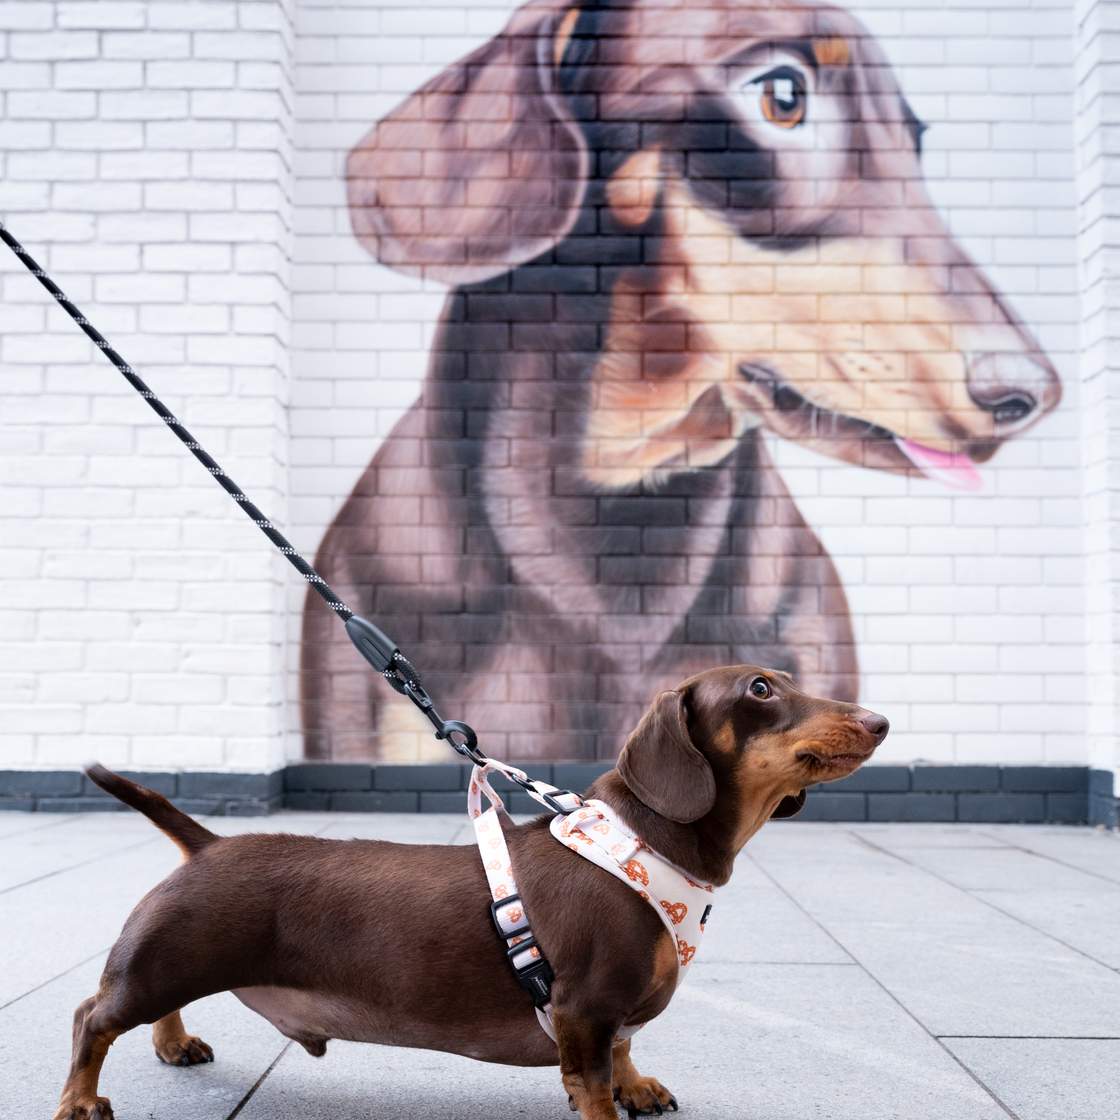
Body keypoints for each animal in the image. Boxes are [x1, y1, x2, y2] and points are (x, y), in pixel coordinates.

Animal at [53, 665, 888, 1120]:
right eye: (760, 687)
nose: (880, 720)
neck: (646, 843)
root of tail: (210, 843)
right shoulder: (582, 1007)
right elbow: (592, 1080)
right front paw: (612, 1099)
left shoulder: (611, 1014)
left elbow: (626, 1048)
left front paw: (640, 1086)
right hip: (164, 959)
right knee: (93, 1017)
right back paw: (80, 1100)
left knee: (145, 1012)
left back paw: (173, 1043)